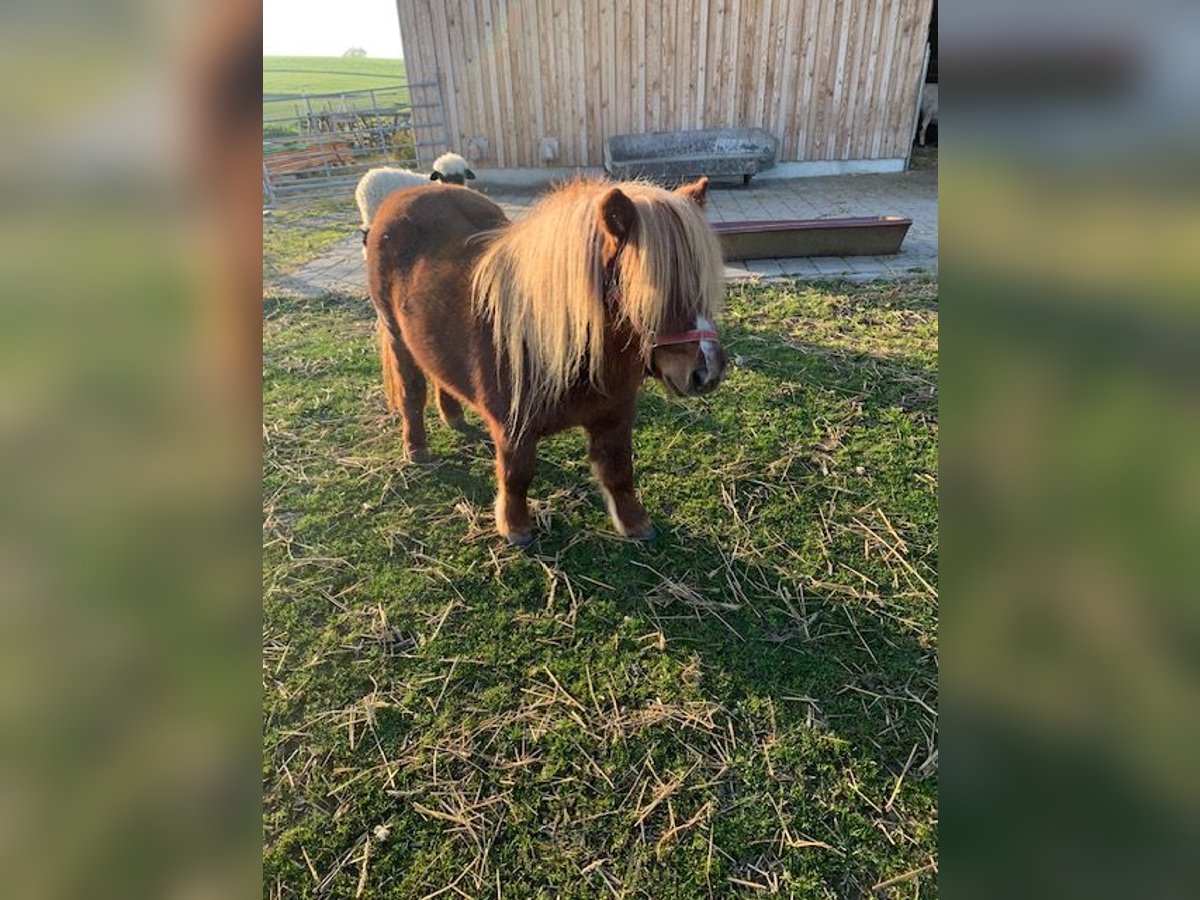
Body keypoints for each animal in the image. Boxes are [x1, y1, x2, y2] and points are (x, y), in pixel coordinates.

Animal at [364, 176, 724, 542]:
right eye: (651, 290)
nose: (707, 372)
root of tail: (406, 194)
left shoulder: (615, 417)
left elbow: (619, 470)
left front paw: (635, 523)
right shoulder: (513, 428)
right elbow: (517, 475)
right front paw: (516, 528)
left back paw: (454, 417)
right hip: (397, 337)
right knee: (412, 392)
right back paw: (417, 449)